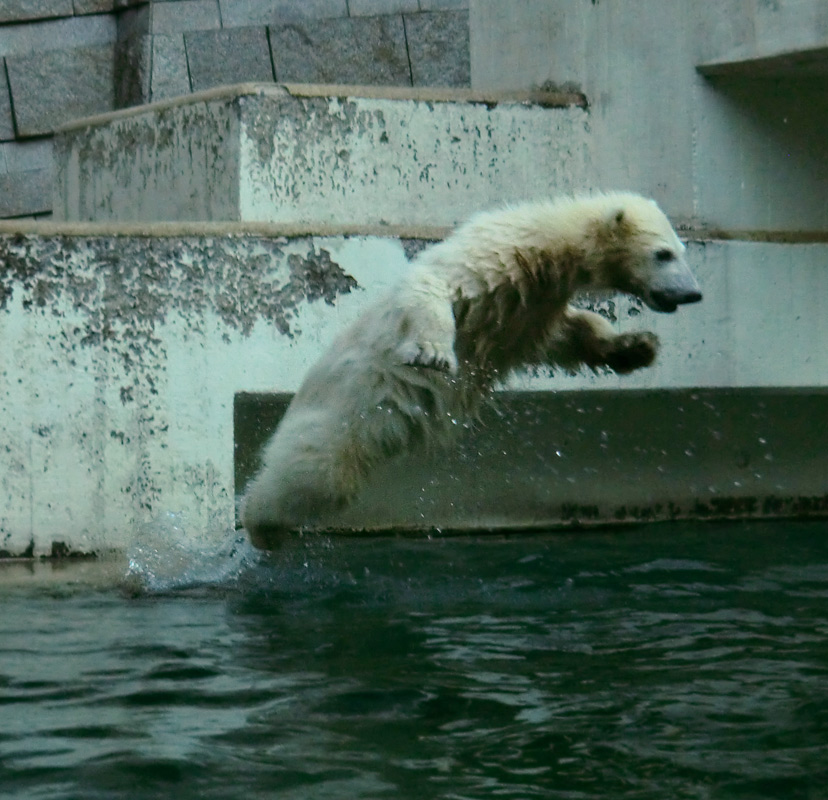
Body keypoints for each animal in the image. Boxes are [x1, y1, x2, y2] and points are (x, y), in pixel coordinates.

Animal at [243, 194, 700, 544]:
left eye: (682, 251)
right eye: (663, 253)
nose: (693, 294)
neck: (547, 249)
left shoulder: (537, 305)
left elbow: (570, 333)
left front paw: (637, 348)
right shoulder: (495, 256)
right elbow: (431, 288)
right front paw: (432, 353)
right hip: (342, 418)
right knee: (313, 478)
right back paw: (260, 525)